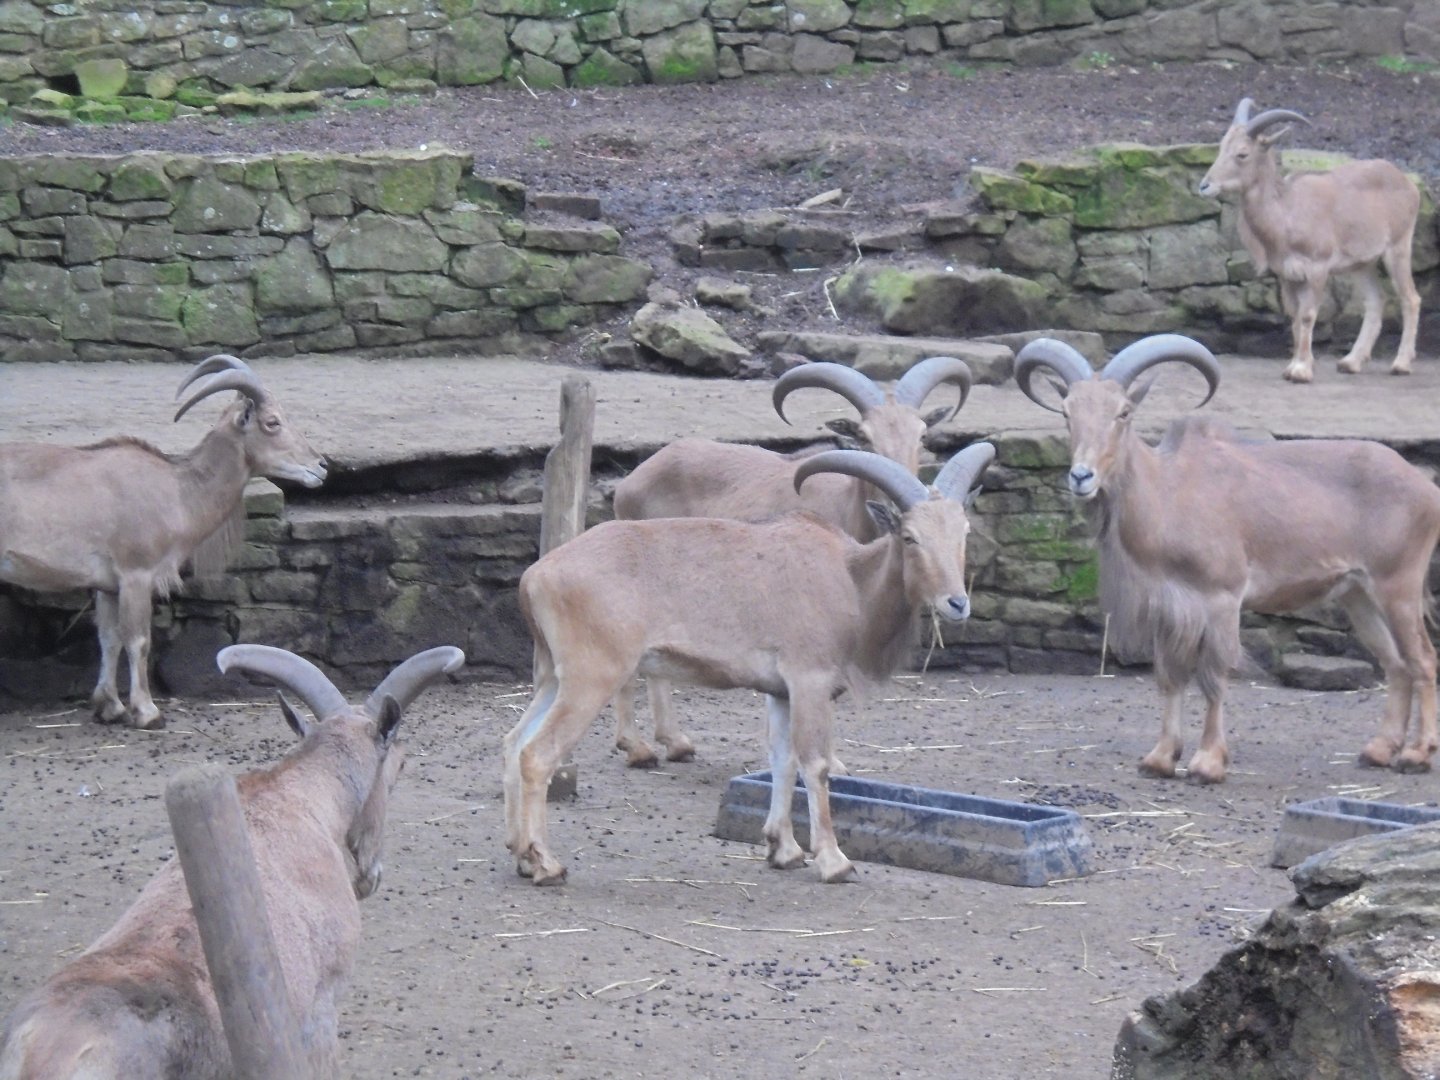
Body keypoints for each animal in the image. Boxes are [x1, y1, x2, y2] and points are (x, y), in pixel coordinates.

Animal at [0, 354, 327, 730]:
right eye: (272, 422)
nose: (321, 466)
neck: (177, 489)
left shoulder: (108, 586)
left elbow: (109, 638)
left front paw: (109, 707)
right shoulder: (136, 574)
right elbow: (138, 640)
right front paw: (147, 712)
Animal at [505, 442, 995, 885]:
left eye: (963, 534)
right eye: (910, 537)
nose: (957, 603)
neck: (851, 581)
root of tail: (534, 576)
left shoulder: (780, 692)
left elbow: (782, 759)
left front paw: (784, 849)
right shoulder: (809, 680)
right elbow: (815, 763)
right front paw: (834, 861)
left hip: (553, 677)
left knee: (513, 742)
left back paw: (521, 855)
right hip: (591, 677)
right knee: (538, 753)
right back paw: (546, 864)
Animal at [608, 356, 973, 767]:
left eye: (922, 436)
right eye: (864, 437)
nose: (897, 507)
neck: (847, 509)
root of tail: (632, 480)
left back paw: (675, 742)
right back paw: (637, 746)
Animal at [1014, 333, 1440, 783]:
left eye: (1123, 413)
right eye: (1067, 412)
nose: (1081, 476)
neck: (1167, 492)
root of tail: (1425, 487)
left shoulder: (1221, 599)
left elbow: (1214, 676)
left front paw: (1207, 763)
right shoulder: (1169, 608)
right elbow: (1170, 677)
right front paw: (1160, 758)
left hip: (1398, 586)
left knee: (1423, 660)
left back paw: (1416, 754)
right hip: (1358, 595)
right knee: (1395, 663)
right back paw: (1379, 750)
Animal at [1198, 96, 1422, 383]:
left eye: (1242, 154)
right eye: (1221, 148)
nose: (1205, 186)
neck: (1287, 210)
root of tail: (1407, 183)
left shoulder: (1317, 269)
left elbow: (1307, 315)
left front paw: (1301, 370)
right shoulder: (1286, 274)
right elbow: (1294, 317)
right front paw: (1294, 364)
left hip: (1398, 246)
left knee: (1410, 298)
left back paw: (1401, 364)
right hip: (1362, 263)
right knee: (1375, 300)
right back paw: (1350, 362)